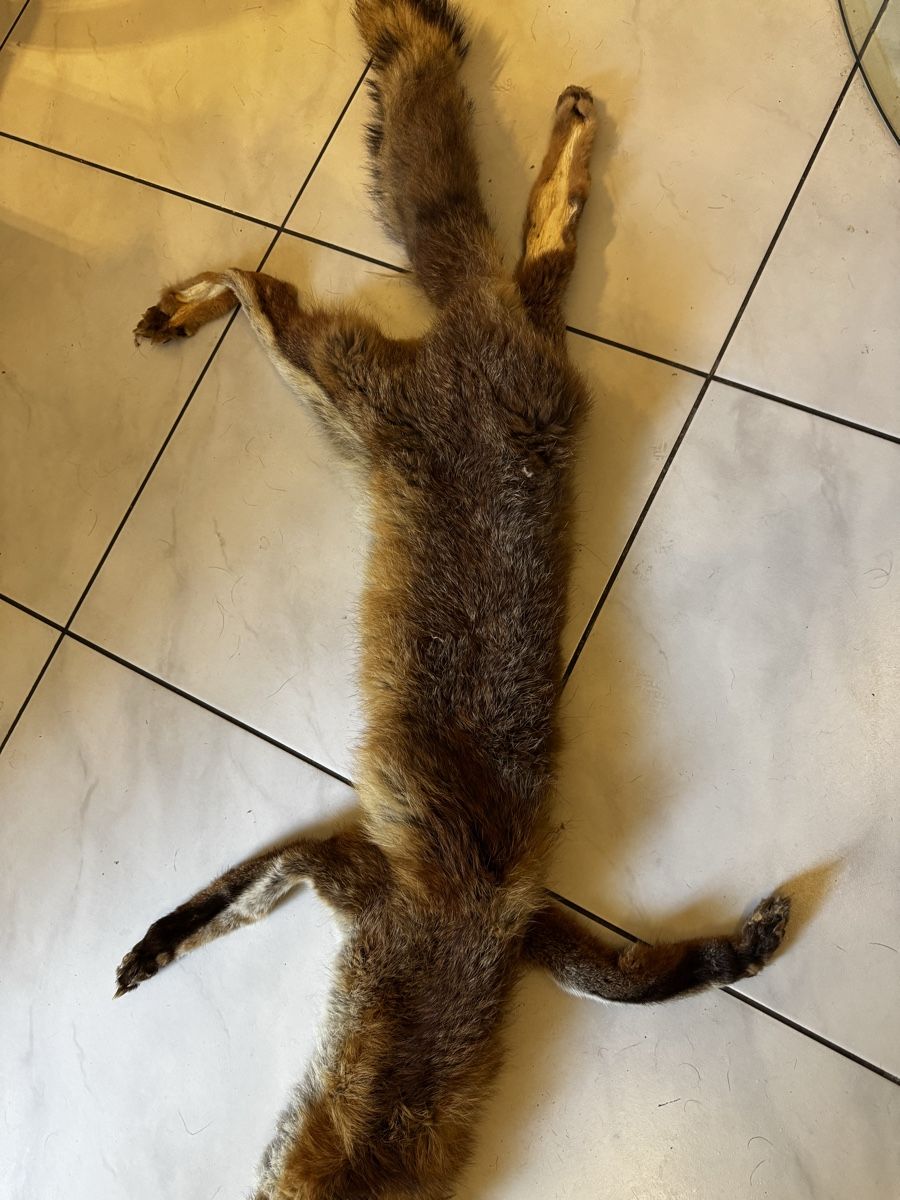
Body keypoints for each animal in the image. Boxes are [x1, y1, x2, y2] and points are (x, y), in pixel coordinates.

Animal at [117, 2, 791, 1196]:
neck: (441, 971)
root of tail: (474, 330)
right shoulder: (415, 896)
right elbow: (641, 979)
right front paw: (165, 938)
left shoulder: (451, 911)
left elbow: (644, 980)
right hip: (379, 391)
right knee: (510, 265)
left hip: (340, 384)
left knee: (272, 279)